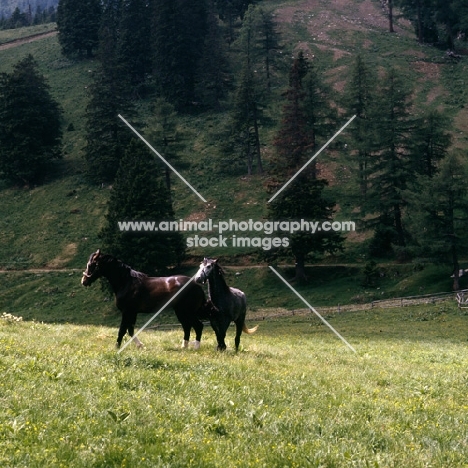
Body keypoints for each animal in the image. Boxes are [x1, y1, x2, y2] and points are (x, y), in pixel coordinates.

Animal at [81, 250, 213, 350]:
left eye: (91, 265)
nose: (84, 281)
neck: (126, 282)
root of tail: (196, 285)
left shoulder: (127, 312)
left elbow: (122, 329)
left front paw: (117, 347)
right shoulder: (132, 313)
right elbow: (130, 330)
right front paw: (140, 346)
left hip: (188, 311)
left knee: (198, 326)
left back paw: (196, 347)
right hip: (180, 311)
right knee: (187, 326)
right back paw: (184, 347)